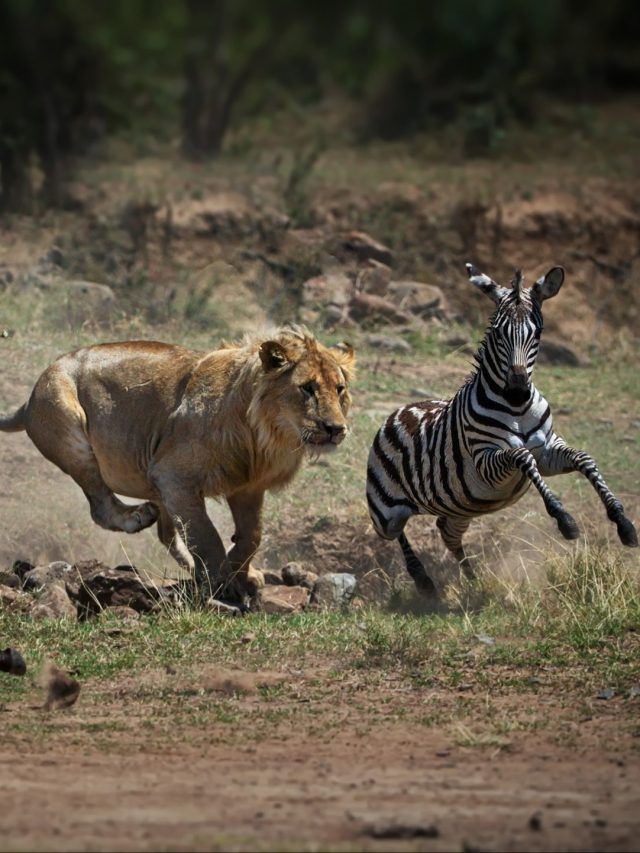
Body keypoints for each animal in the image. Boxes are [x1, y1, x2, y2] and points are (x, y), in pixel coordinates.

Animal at [0, 325, 355, 602]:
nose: (336, 429)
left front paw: (241, 572)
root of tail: (29, 398)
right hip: (71, 431)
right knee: (101, 506)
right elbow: (205, 533)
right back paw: (137, 517)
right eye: (307, 388)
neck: (264, 435)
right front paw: (221, 580)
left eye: (340, 389)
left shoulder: (247, 488)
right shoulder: (173, 475)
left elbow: (251, 536)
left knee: (165, 532)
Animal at [366, 263, 638, 595]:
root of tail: (395, 413)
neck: (517, 410)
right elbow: (522, 456)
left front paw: (623, 522)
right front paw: (563, 517)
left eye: (538, 333)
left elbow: (584, 459)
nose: (518, 390)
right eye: (497, 333)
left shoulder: (548, 451)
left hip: (460, 508)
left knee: (447, 532)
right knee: (396, 533)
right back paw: (423, 579)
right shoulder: (486, 460)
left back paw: (472, 580)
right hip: (386, 511)